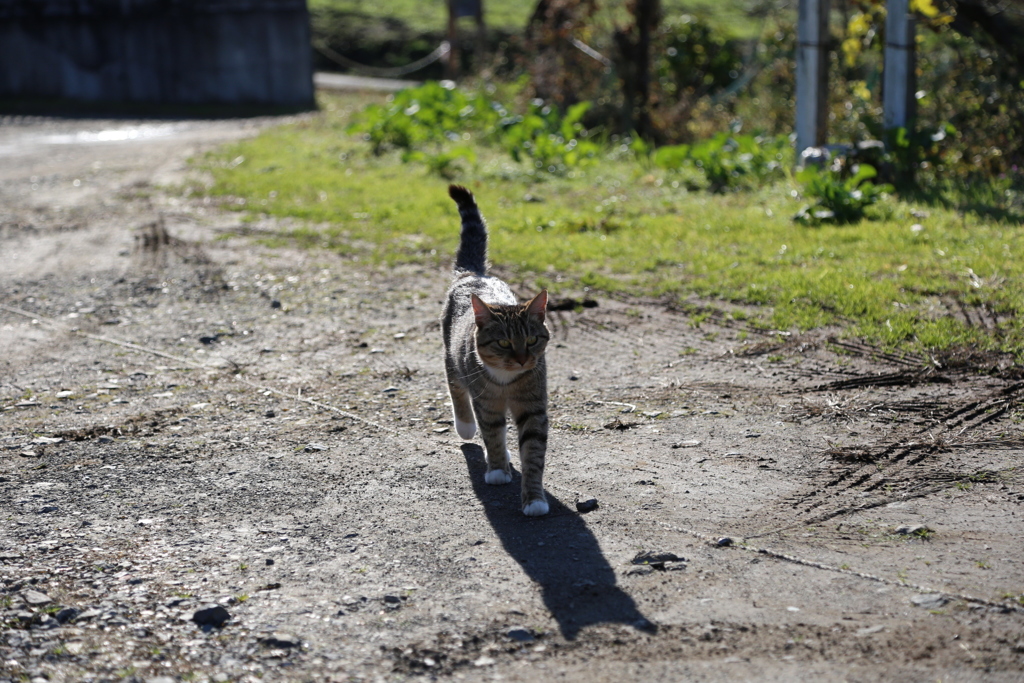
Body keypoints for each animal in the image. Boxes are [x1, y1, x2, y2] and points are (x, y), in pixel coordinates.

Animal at [442, 184, 552, 516]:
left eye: (532, 340)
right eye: (503, 342)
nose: (522, 360)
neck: (506, 380)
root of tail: (475, 274)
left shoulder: (533, 406)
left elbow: (533, 453)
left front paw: (534, 498)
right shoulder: (487, 401)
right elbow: (491, 433)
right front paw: (498, 469)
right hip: (451, 355)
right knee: (455, 387)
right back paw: (466, 426)